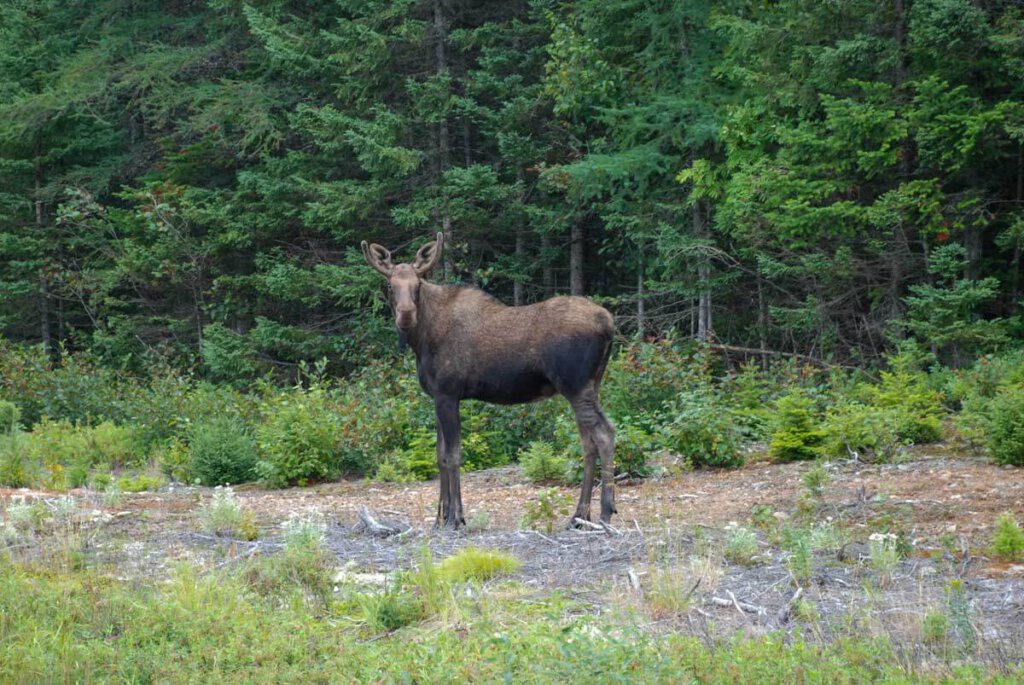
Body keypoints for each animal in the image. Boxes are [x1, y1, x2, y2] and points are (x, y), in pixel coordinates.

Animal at [360, 232, 614, 528]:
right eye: (390, 285)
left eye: (418, 284)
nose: (406, 314)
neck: (421, 340)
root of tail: (609, 324)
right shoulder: (437, 396)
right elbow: (439, 455)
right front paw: (439, 518)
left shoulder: (448, 393)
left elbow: (453, 455)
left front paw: (455, 518)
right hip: (591, 385)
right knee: (588, 444)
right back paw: (578, 516)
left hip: (575, 385)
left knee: (605, 434)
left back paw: (606, 512)